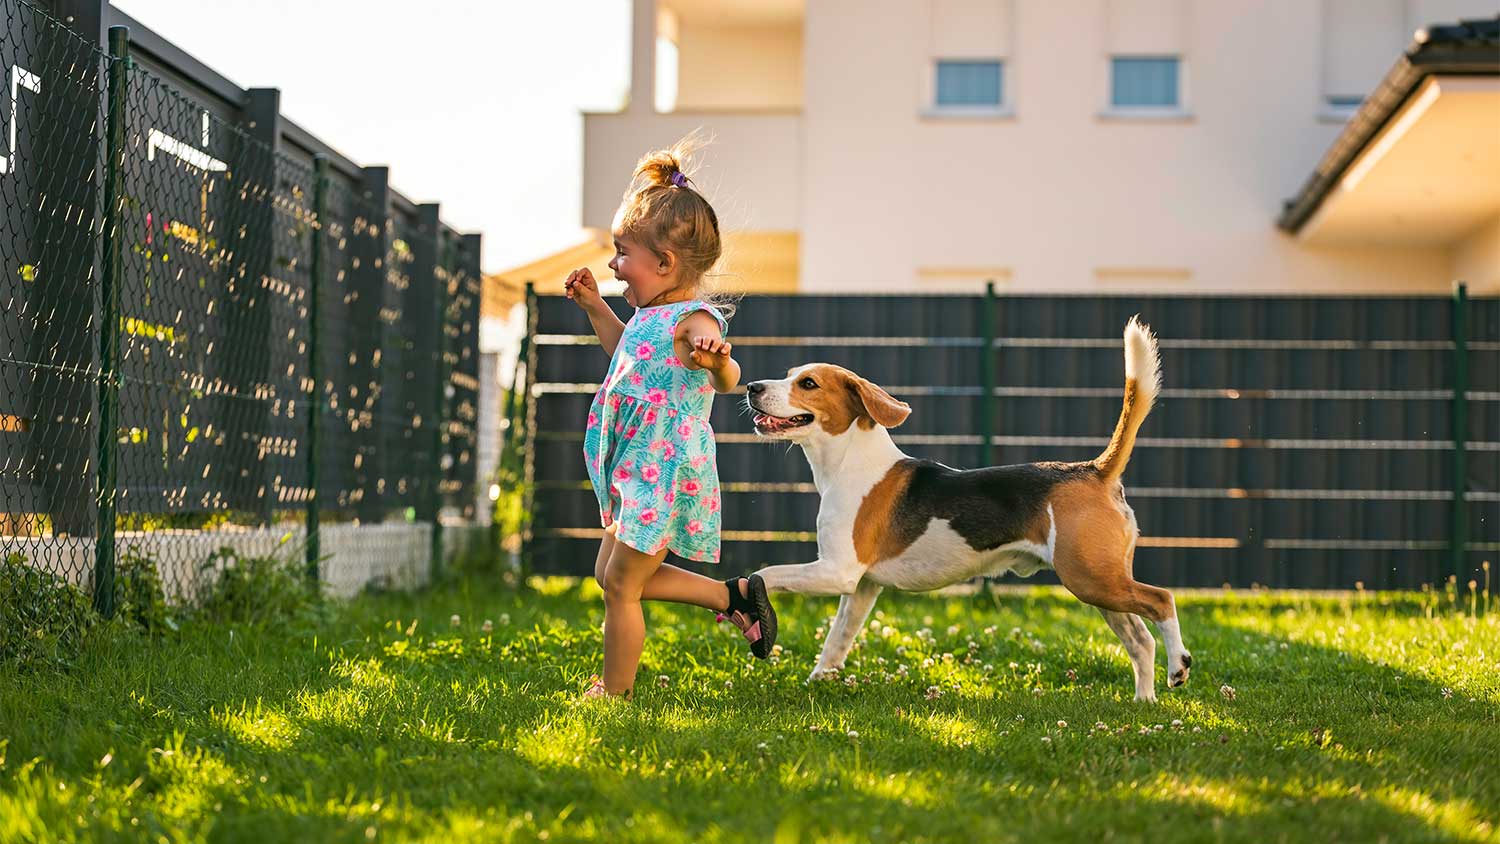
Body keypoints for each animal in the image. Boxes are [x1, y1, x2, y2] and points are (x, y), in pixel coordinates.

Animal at [744, 317, 1188, 701]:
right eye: (790, 374)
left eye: (808, 383)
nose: (751, 385)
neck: (850, 460)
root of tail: (1095, 469)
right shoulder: (862, 587)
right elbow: (837, 640)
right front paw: (818, 680)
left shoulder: (838, 572)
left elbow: (764, 574)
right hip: (1099, 585)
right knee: (1140, 640)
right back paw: (1144, 701)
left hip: (1092, 579)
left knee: (1162, 600)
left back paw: (1178, 666)